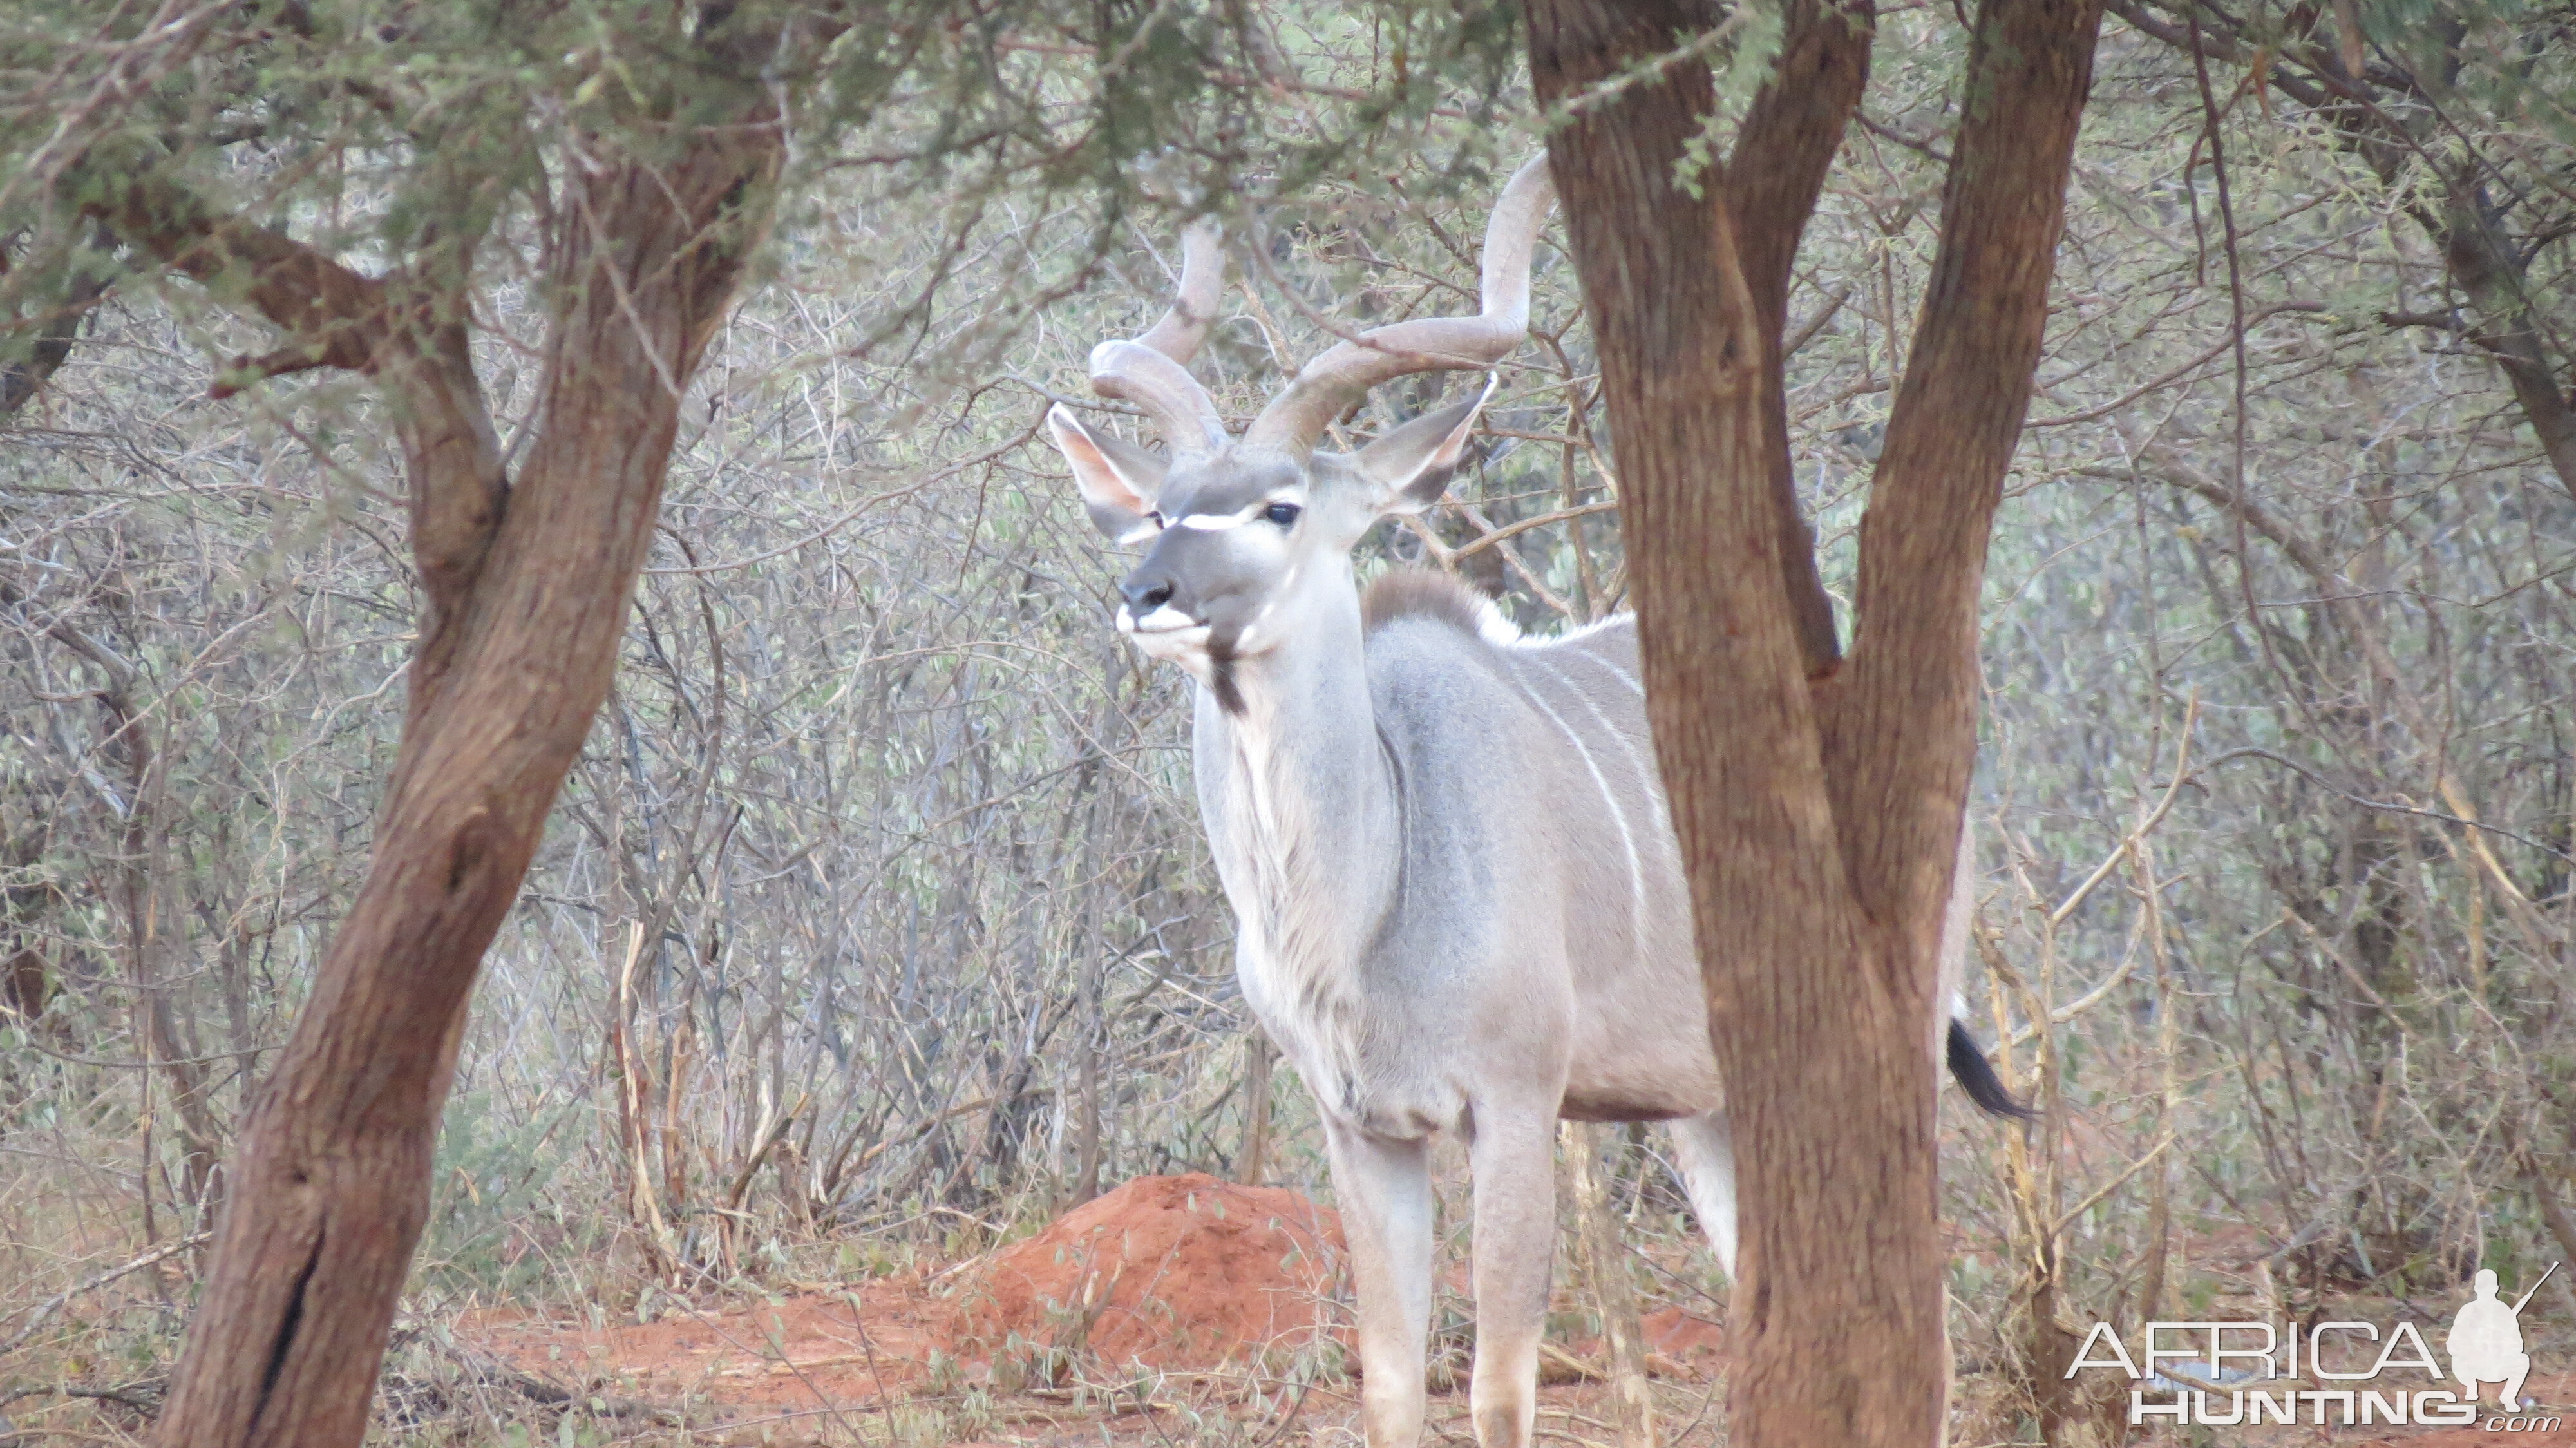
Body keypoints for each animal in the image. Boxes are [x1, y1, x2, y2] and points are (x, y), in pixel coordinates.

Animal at [1036, 158, 2020, 1443]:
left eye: (1281, 508)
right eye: (1159, 510)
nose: (1146, 594)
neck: (1374, 891)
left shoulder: (1513, 1102)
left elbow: (1499, 1384)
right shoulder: (1360, 1128)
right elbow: (1392, 1380)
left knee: (1919, 1316)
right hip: (1713, 1104)